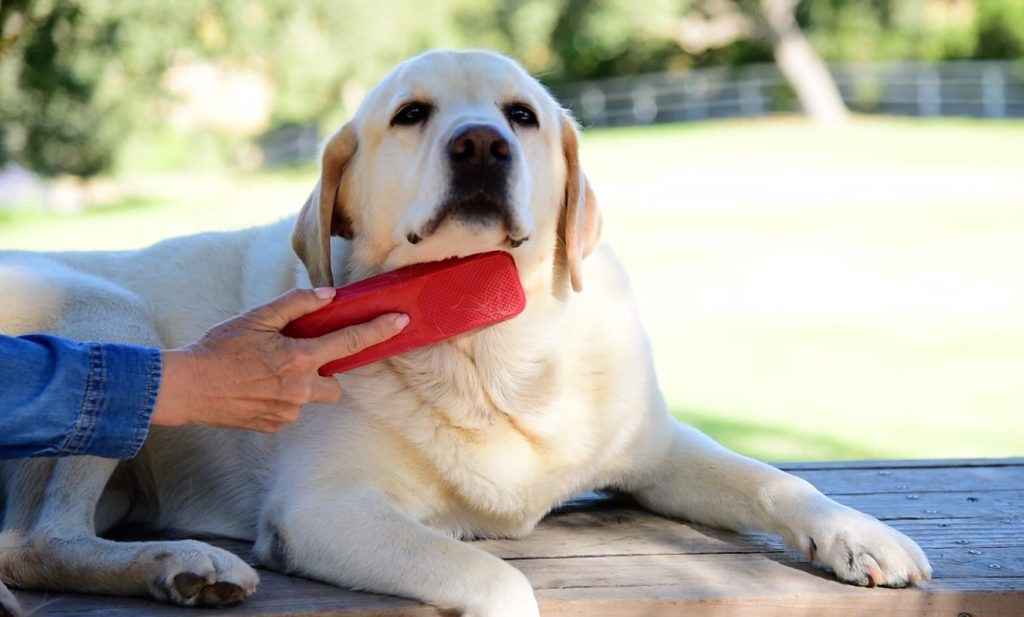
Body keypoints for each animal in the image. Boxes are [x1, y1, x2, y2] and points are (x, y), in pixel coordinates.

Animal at [0, 50, 929, 613]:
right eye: (411, 114)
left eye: (521, 115)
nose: (480, 145)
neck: (490, 341)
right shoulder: (328, 508)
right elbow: (497, 577)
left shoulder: (656, 448)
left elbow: (779, 482)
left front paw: (859, 534)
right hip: (114, 317)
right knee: (36, 542)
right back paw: (182, 563)